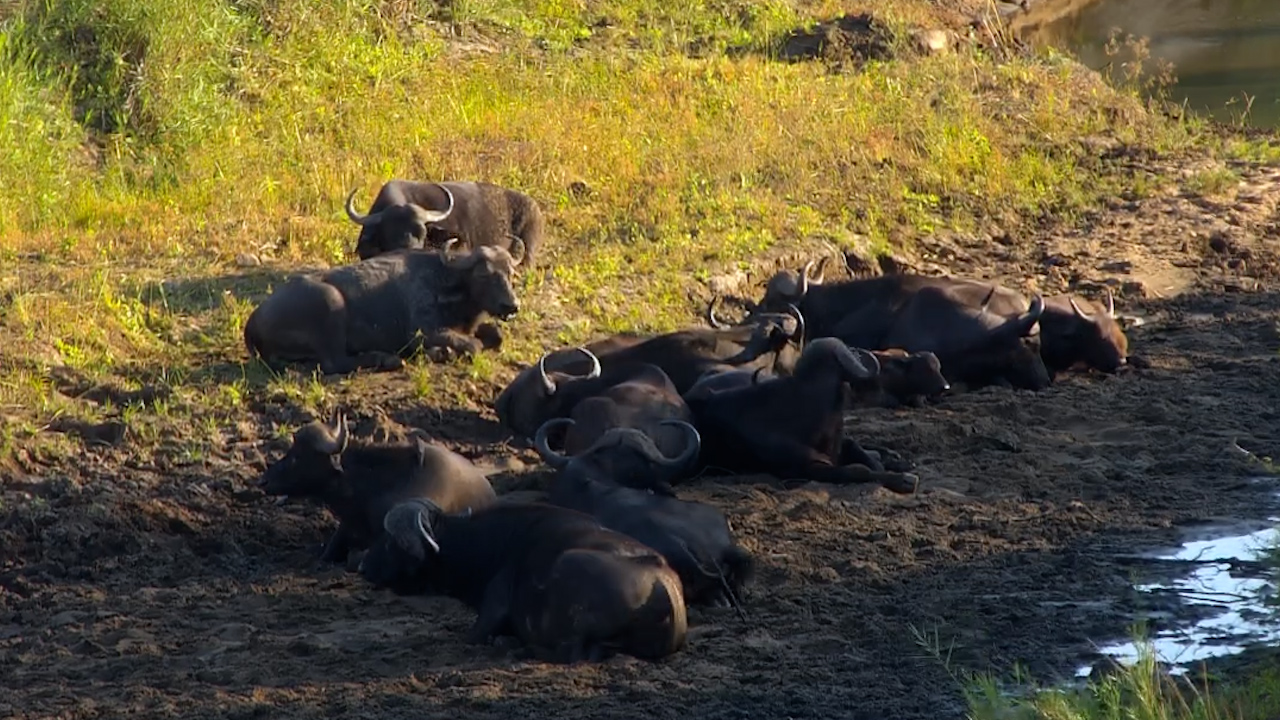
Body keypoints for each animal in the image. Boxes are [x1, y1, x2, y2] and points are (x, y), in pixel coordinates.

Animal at [245, 243, 522, 374]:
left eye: (510, 272)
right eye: (483, 274)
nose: (511, 305)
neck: (445, 279)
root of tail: (254, 319)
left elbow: (495, 335)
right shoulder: (422, 331)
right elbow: (473, 345)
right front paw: (442, 352)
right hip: (331, 302)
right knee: (334, 362)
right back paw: (387, 358)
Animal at [359, 499, 688, 663]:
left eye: (389, 540)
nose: (362, 565)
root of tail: (662, 584)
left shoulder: (490, 612)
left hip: (570, 572)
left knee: (571, 654)